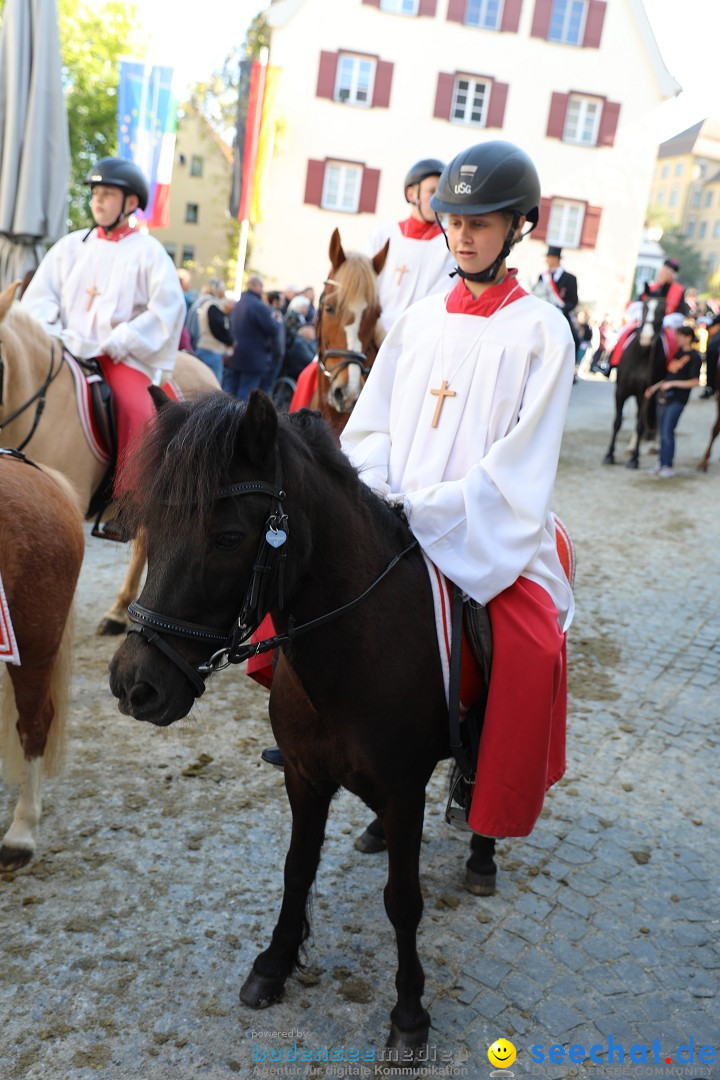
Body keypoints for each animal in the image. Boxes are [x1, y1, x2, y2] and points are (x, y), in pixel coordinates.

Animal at [110, 388, 496, 1054]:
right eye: (151, 529)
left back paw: (483, 854)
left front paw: (409, 1013)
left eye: (228, 537)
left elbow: (403, 900)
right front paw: (274, 964)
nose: (136, 685)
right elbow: (296, 870)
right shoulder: (304, 775)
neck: (355, 656)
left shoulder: (403, 790)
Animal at [600, 293, 669, 466]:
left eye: (663, 311)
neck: (642, 355)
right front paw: (609, 454)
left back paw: (652, 446)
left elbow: (640, 425)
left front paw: (635, 459)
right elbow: (617, 422)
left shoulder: (646, 394)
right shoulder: (620, 391)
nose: (646, 337)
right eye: (644, 308)